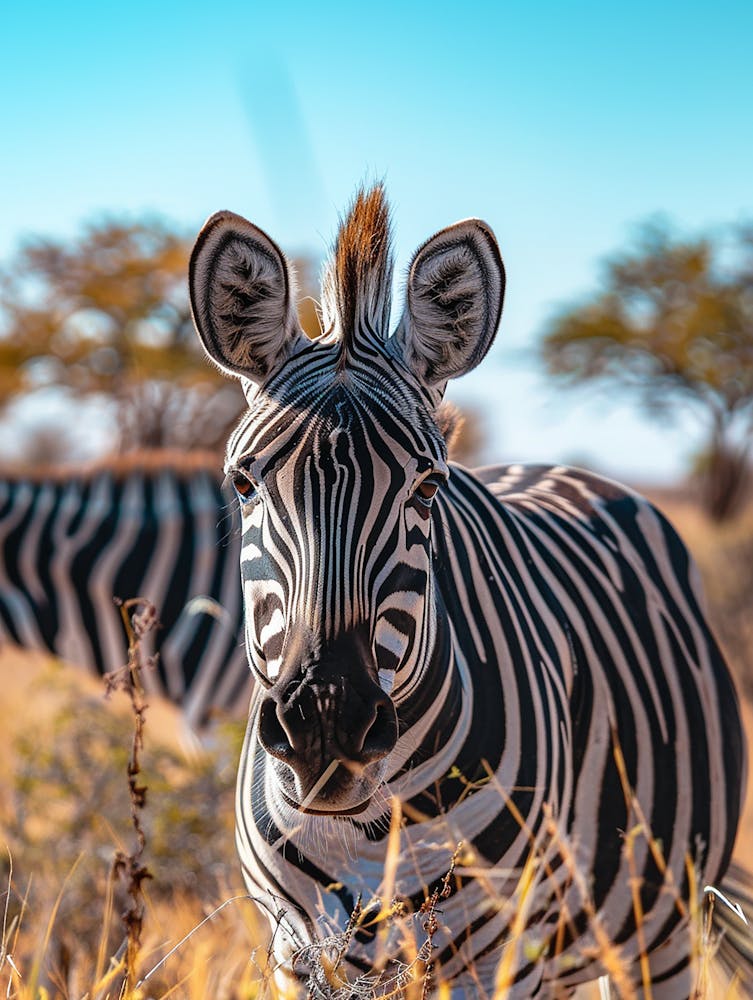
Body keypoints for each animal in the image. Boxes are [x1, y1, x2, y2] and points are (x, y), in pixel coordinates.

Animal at [188, 183, 746, 998]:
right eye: (242, 483)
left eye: (427, 488)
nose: (326, 726)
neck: (362, 828)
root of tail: (561, 468)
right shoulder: (296, 954)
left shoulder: (497, 957)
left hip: (659, 928)